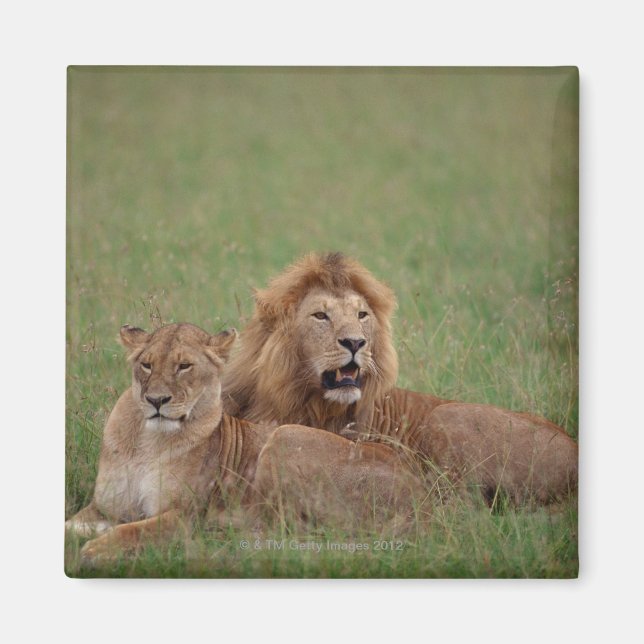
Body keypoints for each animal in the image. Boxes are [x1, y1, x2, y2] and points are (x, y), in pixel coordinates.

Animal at [66, 323, 428, 561]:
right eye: (146, 364)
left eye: (184, 366)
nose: (156, 400)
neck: (147, 439)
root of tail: (421, 497)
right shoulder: (102, 507)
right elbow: (70, 525)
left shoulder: (182, 515)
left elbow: (131, 530)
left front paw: (94, 550)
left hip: (284, 437)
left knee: (291, 530)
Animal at [222, 252, 578, 505]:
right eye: (320, 315)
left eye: (361, 315)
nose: (355, 342)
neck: (301, 399)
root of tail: (574, 449)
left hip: (446, 416)